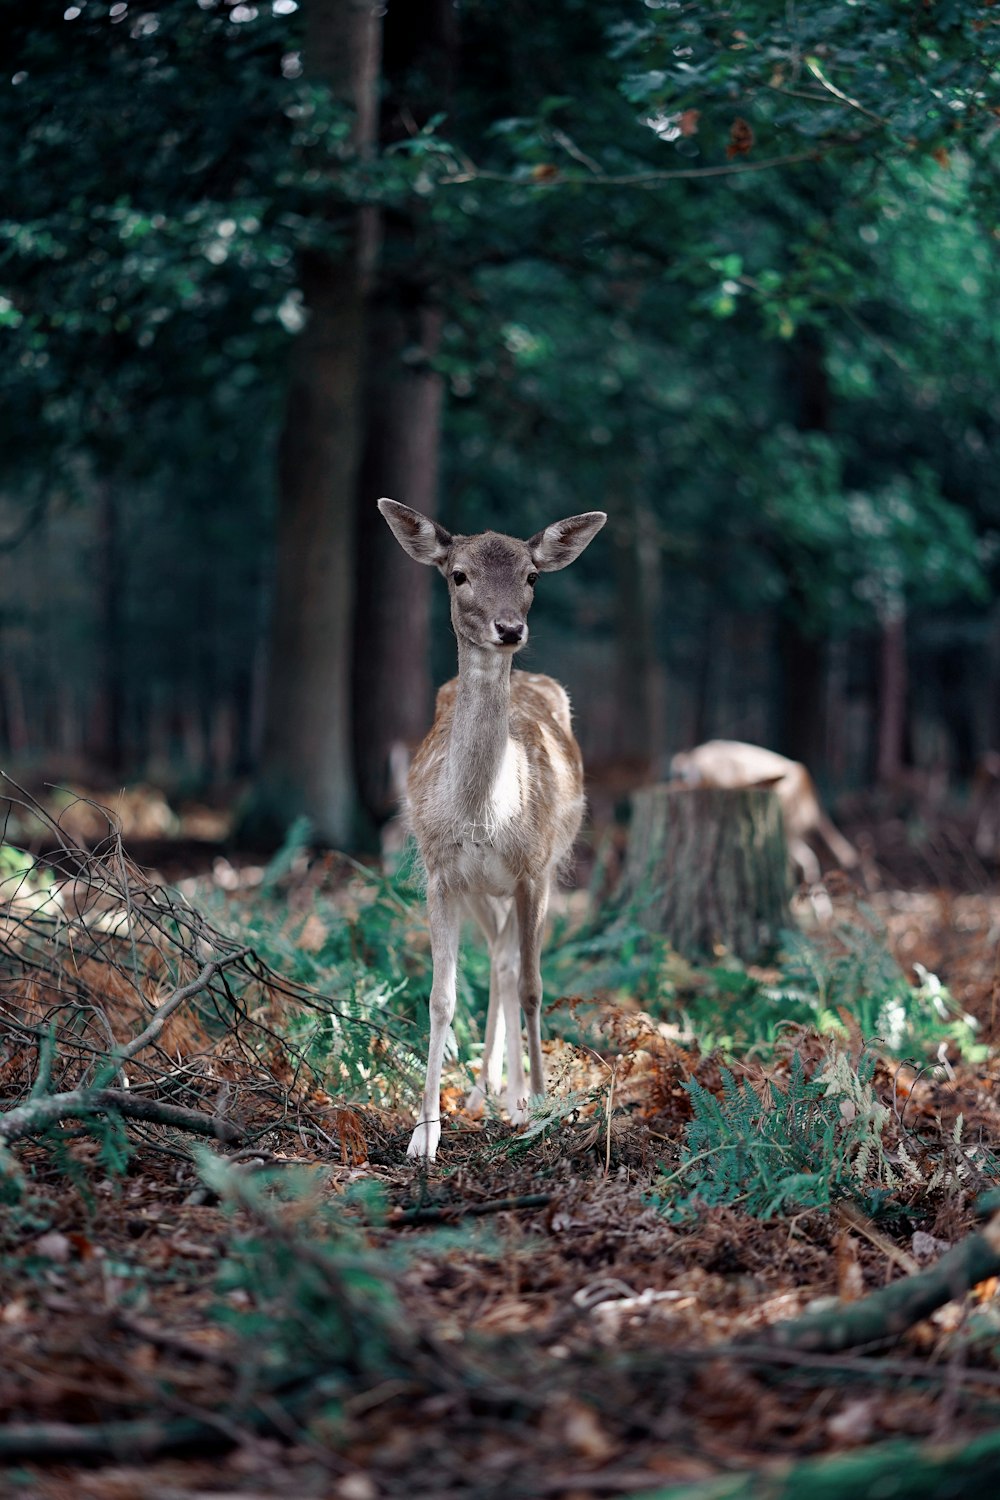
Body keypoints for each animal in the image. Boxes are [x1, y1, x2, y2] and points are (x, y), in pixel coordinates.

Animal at [377, 498, 605, 1164]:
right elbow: (441, 996)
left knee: (511, 969)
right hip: (483, 893)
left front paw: (543, 1109)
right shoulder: (441, 874)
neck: (484, 816)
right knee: (498, 964)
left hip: (541, 874)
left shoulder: (533, 870)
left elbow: (532, 987)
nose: (509, 629)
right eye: (458, 575)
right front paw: (424, 1134)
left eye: (532, 576)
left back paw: (515, 1098)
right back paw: (487, 1095)